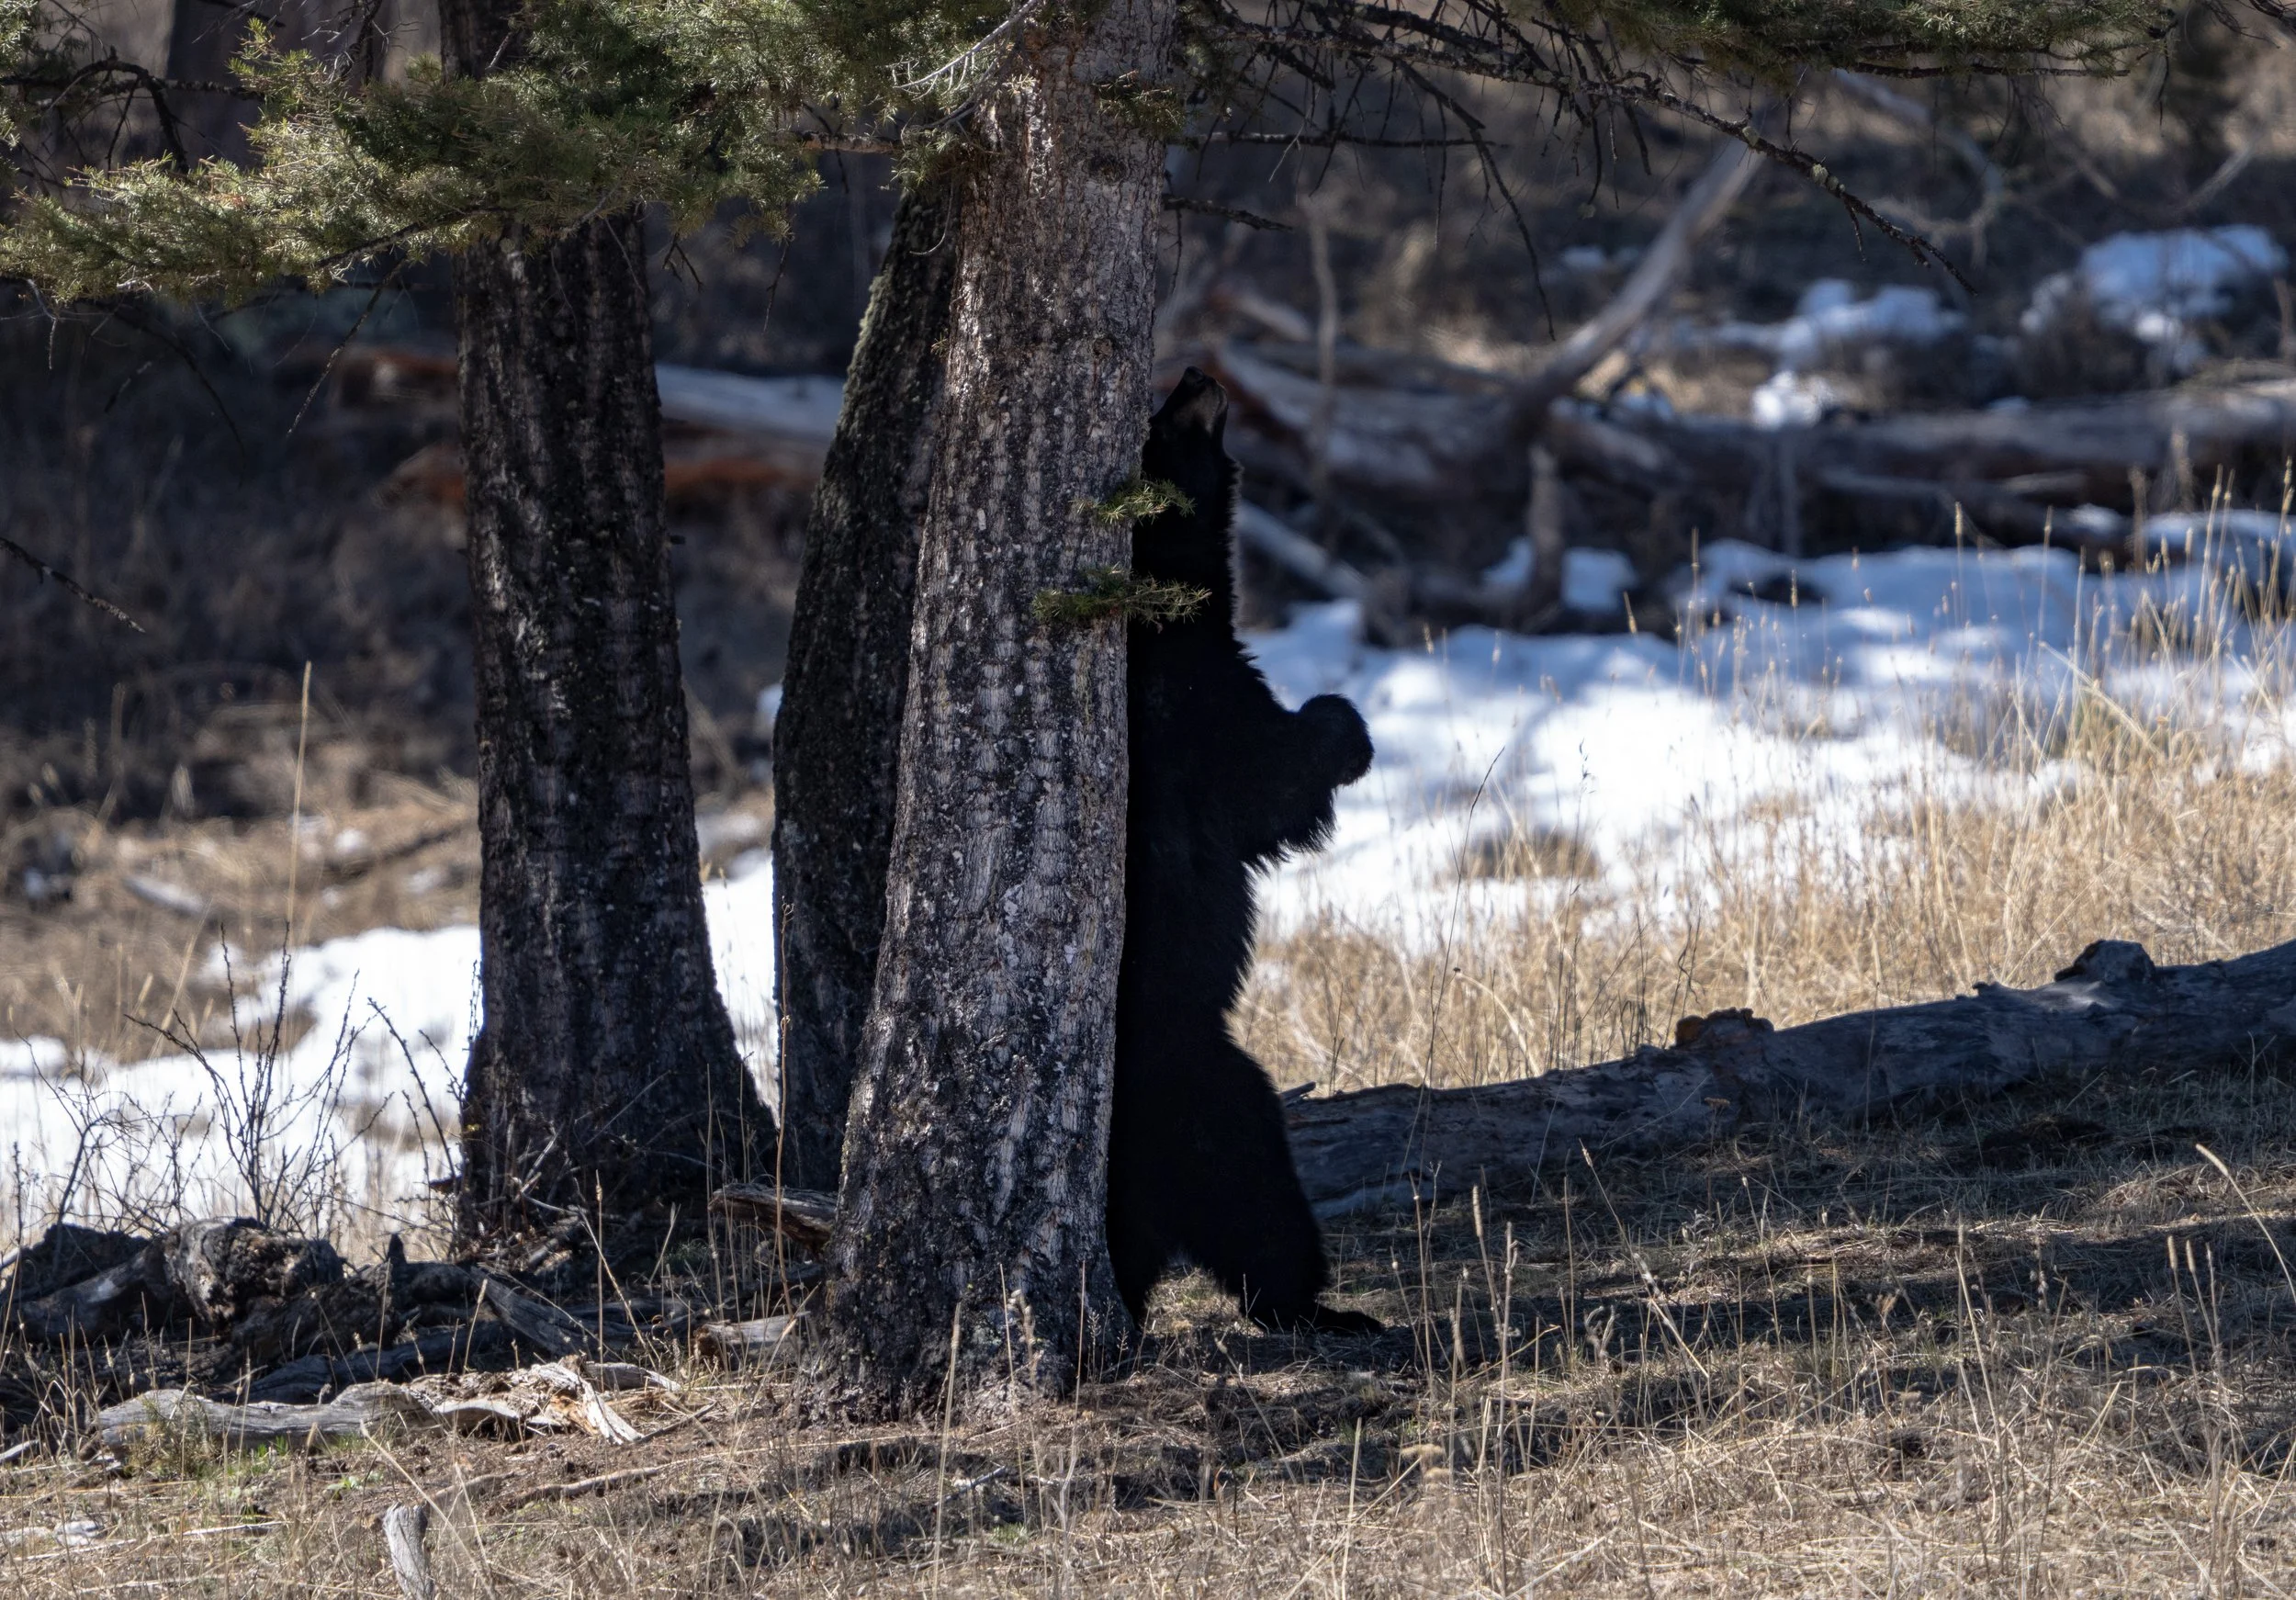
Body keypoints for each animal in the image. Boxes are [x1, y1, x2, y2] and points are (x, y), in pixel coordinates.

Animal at [1106, 367, 1382, 1337]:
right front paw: (1345, 727)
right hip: (1216, 1093)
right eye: (1164, 417)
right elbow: (1276, 782)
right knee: (1261, 1198)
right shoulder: (1200, 715)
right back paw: (1321, 1307)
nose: (1200, 374)